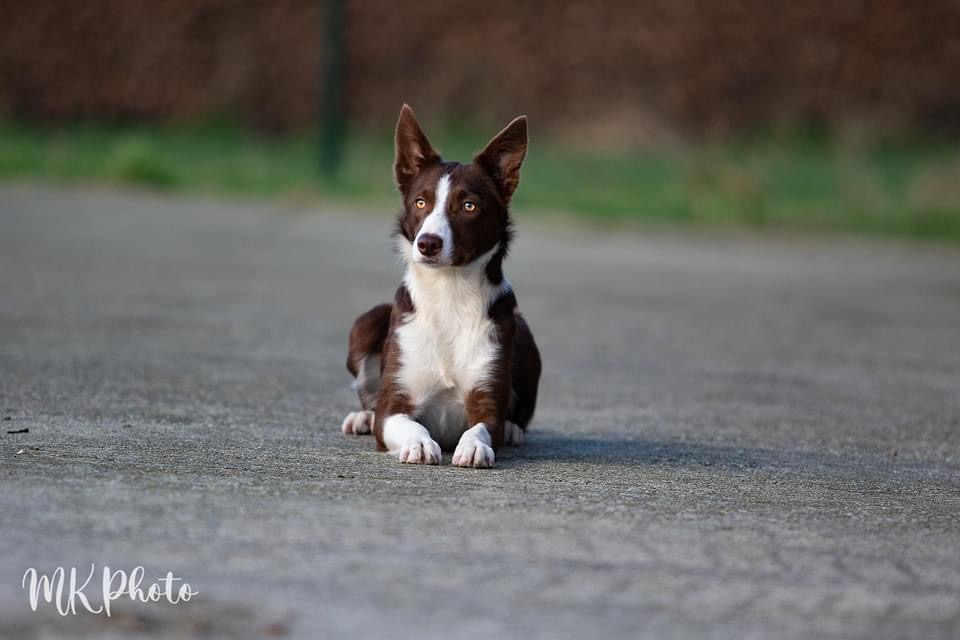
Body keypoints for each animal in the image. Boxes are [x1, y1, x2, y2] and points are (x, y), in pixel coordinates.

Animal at [340, 104, 541, 468]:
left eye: (469, 205)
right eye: (421, 202)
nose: (428, 243)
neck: (450, 293)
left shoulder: (486, 400)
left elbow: (481, 428)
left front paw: (475, 446)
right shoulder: (393, 406)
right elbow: (403, 422)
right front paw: (419, 443)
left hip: (523, 331)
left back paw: (514, 429)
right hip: (367, 321)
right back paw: (360, 417)